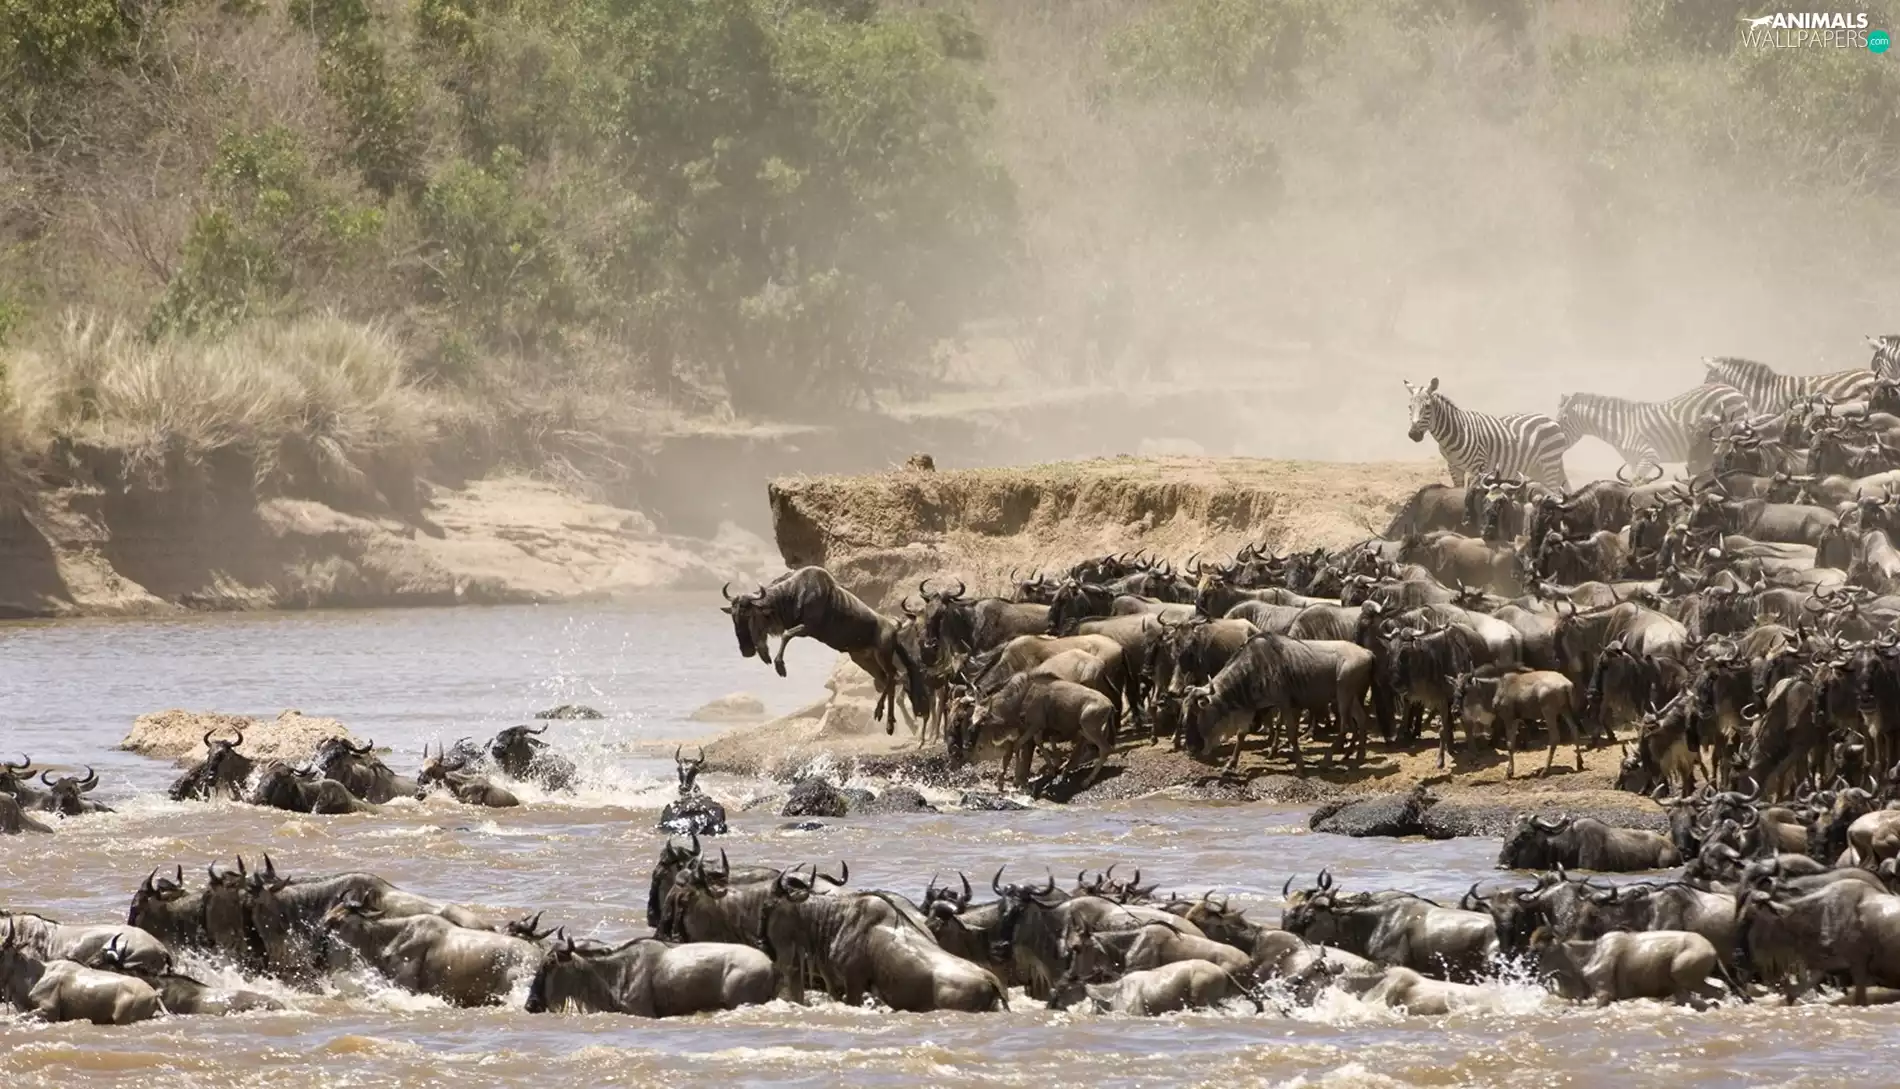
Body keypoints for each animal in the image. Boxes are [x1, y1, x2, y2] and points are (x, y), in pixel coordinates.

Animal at [1403, 377, 1569, 491]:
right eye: (1410, 407)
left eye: (1427, 407)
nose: (1414, 434)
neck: (1455, 433)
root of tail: (1550, 419)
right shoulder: (1454, 468)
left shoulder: (1479, 468)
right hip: (1537, 468)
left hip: (1550, 464)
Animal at [1556, 383, 1749, 477]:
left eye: (1562, 420)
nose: (1556, 445)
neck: (1621, 428)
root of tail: (1736, 390)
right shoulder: (1634, 462)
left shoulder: (1648, 456)